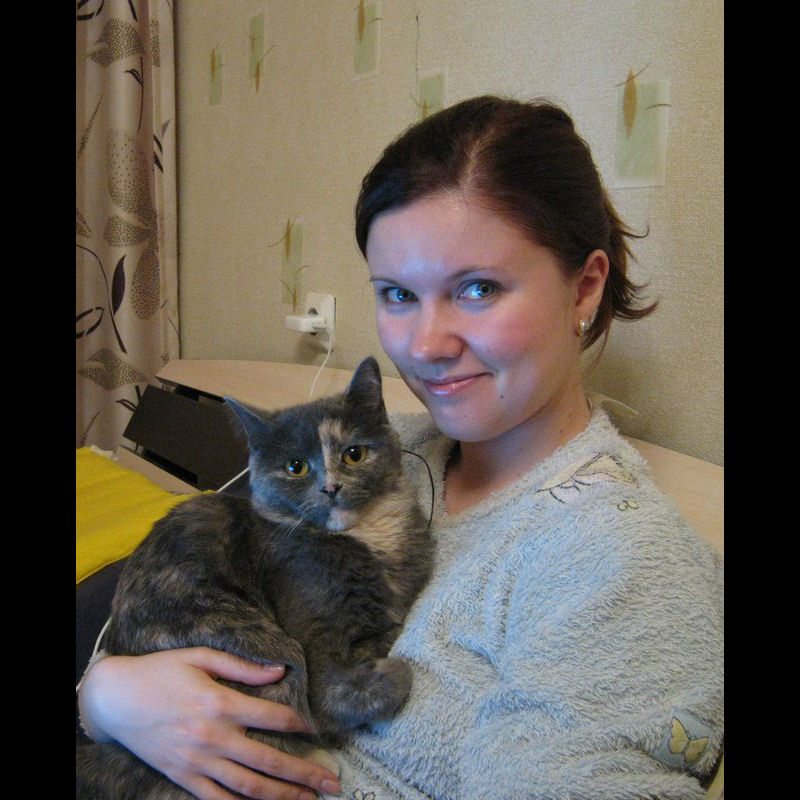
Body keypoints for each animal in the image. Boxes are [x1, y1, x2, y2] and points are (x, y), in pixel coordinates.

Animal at [76, 356, 434, 800]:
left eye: (354, 454)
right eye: (296, 467)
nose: (331, 487)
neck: (367, 537)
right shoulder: (313, 633)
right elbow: (333, 697)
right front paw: (391, 673)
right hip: (267, 646)